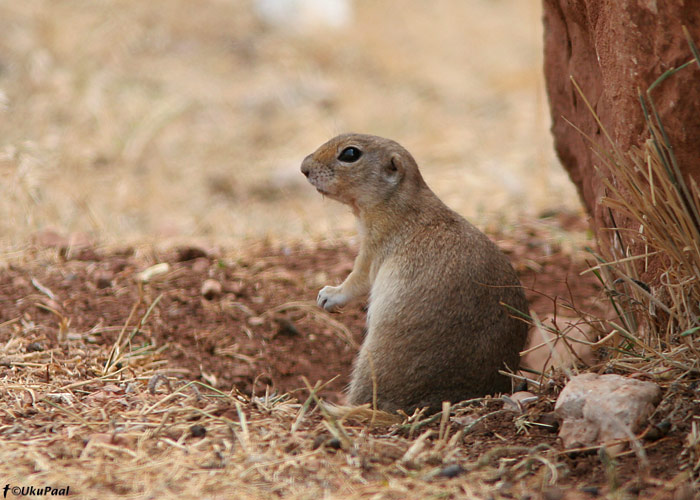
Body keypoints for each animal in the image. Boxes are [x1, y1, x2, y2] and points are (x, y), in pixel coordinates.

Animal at [300, 134, 524, 414]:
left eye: (350, 154)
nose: (304, 168)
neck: (400, 202)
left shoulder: (374, 248)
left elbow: (358, 278)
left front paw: (328, 295)